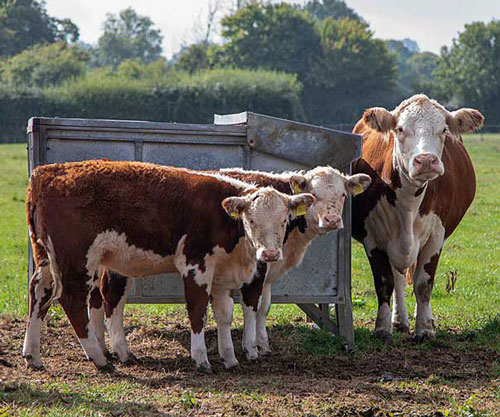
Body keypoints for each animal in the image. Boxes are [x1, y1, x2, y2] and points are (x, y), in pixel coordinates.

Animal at [23, 159, 314, 370]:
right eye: (251, 220)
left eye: (284, 220)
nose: (270, 253)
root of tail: (46, 172)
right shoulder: (195, 265)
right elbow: (198, 311)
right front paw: (201, 359)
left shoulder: (222, 275)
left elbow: (224, 314)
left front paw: (230, 358)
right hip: (76, 260)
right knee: (72, 300)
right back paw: (99, 358)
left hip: (47, 258)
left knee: (39, 292)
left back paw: (33, 356)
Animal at [93, 166, 372, 364]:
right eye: (314, 195)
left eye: (343, 194)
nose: (332, 219)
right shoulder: (256, 269)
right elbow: (251, 305)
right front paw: (251, 348)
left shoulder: (267, 269)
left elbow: (264, 307)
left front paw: (263, 344)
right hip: (118, 266)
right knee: (112, 298)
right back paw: (120, 351)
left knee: (95, 299)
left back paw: (101, 346)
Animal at [350, 93, 482, 342]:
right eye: (400, 129)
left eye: (443, 130)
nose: (427, 160)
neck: (408, 202)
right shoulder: (373, 238)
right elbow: (385, 283)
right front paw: (382, 328)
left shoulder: (436, 236)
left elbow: (423, 284)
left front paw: (425, 329)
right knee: (398, 278)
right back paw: (399, 319)